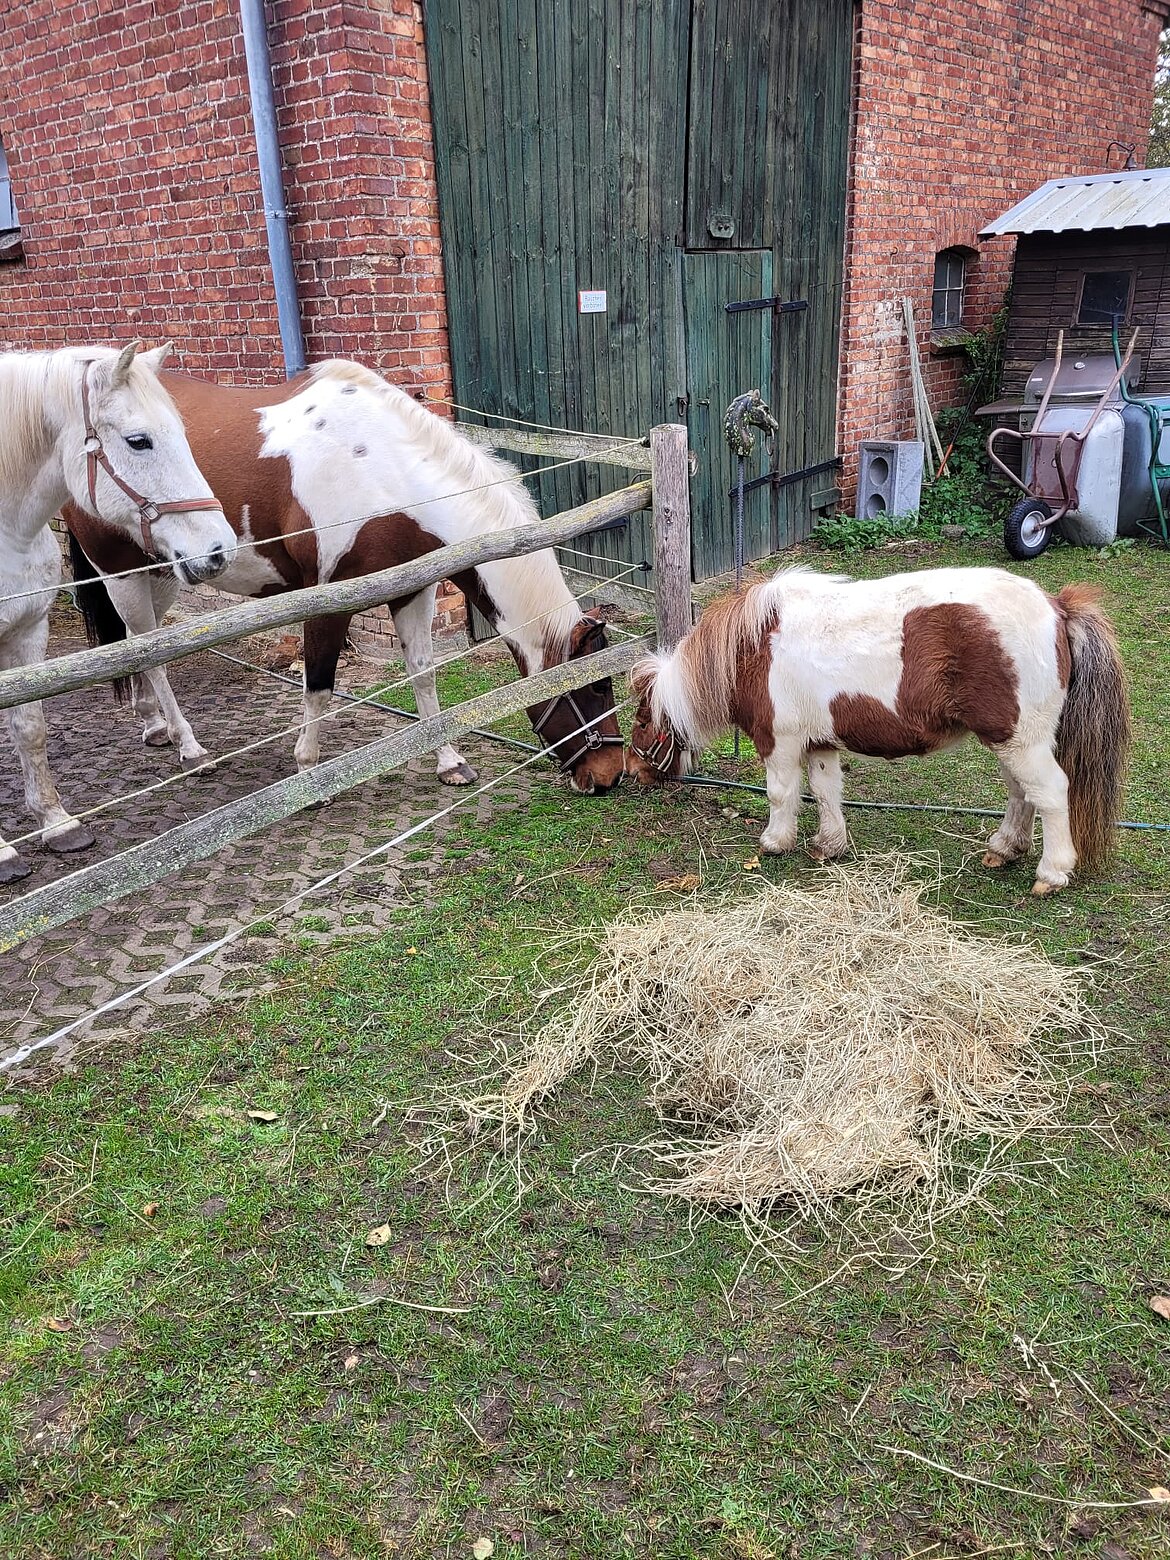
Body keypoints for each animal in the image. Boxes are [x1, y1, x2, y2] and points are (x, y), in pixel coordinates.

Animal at [0, 341, 236, 883]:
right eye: (138, 441)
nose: (218, 550)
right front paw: (4, 852)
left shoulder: (28, 632)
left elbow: (30, 728)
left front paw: (57, 822)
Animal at [64, 360, 627, 795]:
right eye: (598, 688)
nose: (610, 776)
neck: (381, 468)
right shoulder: (326, 601)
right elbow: (318, 685)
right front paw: (309, 772)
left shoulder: (413, 590)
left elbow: (423, 674)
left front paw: (449, 762)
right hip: (121, 573)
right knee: (150, 655)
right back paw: (190, 748)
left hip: (162, 575)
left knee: (139, 647)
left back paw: (154, 725)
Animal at [626, 566, 1131, 895]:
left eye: (642, 720)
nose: (630, 772)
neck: (752, 650)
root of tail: (1057, 609)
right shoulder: (820, 743)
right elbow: (825, 790)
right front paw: (829, 845)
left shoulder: (780, 742)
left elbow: (781, 794)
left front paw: (775, 842)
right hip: (1009, 741)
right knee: (1020, 793)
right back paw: (1004, 848)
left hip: (1020, 741)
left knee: (1050, 793)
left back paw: (1051, 873)